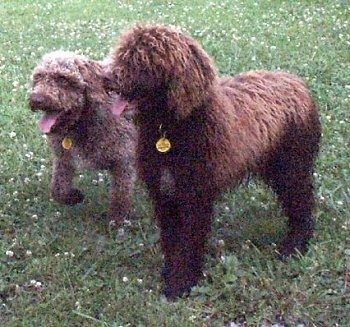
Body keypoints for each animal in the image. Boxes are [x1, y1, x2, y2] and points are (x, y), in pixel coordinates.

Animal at [29, 51, 137, 226]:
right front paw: (73, 197)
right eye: (38, 77)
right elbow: (58, 191)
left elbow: (120, 196)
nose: (37, 99)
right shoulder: (63, 158)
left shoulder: (123, 162)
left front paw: (117, 221)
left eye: (62, 79)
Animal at [105, 25, 322, 300]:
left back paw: (294, 246)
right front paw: (171, 272)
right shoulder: (165, 193)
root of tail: (298, 83)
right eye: (123, 53)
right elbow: (172, 238)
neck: (175, 127)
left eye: (142, 60)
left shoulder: (195, 196)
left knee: (302, 205)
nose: (106, 78)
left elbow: (189, 241)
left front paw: (181, 283)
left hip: (291, 167)